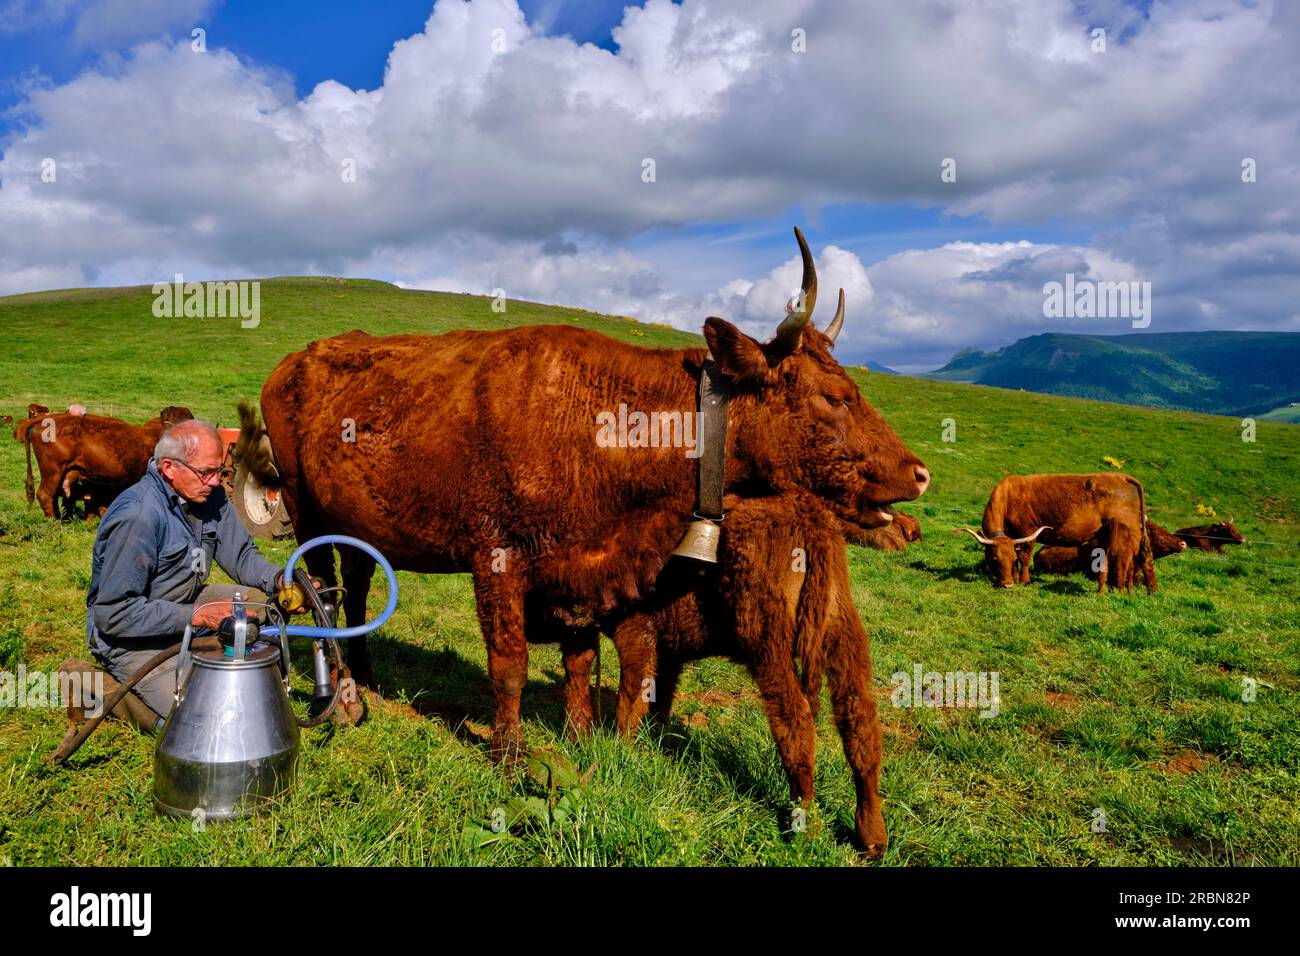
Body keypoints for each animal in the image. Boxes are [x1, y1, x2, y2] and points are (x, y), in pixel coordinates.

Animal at [235, 227, 930, 764]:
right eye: (833, 397)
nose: (919, 473)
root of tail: (295, 360)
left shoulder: (581, 569)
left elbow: (579, 658)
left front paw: (578, 739)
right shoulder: (497, 556)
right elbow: (510, 660)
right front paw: (508, 755)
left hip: (357, 524)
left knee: (354, 590)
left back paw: (371, 679)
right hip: (305, 510)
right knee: (325, 589)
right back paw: (348, 687)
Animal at [610, 491, 888, 856]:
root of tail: (806, 513)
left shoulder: (636, 635)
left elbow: (631, 700)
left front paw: (617, 752)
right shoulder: (668, 652)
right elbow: (659, 701)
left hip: (769, 643)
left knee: (796, 722)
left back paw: (805, 826)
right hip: (843, 634)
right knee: (859, 722)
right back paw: (871, 836)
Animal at [960, 473, 1154, 593]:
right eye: (995, 559)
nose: (1007, 585)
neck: (1007, 496)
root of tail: (1121, 476)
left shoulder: (1027, 531)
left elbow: (1025, 557)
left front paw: (1024, 580)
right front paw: (1014, 576)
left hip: (1131, 531)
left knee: (1142, 558)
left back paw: (1144, 589)